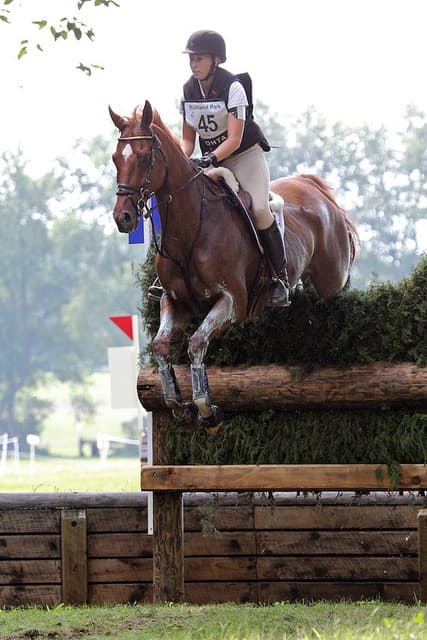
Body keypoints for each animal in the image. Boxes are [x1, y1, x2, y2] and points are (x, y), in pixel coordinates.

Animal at [109, 100, 359, 432]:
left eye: (142, 156)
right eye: (115, 158)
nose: (123, 218)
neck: (192, 227)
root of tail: (315, 188)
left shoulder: (231, 302)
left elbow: (196, 343)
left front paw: (207, 410)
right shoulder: (174, 302)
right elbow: (162, 346)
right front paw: (179, 405)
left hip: (332, 282)